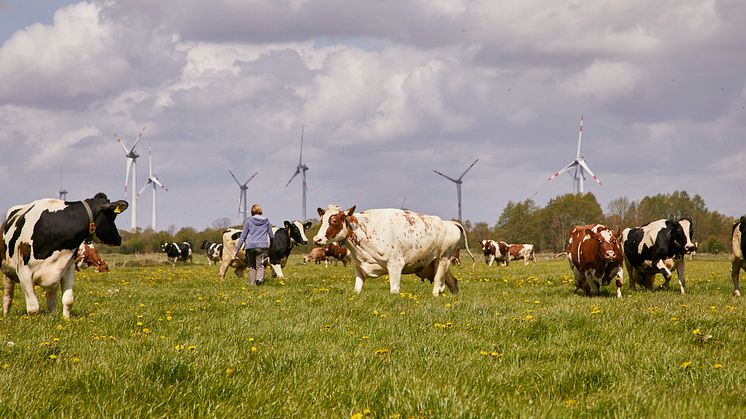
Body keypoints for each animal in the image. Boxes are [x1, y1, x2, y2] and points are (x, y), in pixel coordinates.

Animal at [310, 205, 474, 296]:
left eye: (334, 221)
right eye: (322, 220)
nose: (317, 239)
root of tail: (449, 223)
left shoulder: (395, 265)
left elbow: (394, 290)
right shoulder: (359, 267)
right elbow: (357, 290)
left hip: (443, 260)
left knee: (437, 287)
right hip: (433, 264)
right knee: (453, 282)